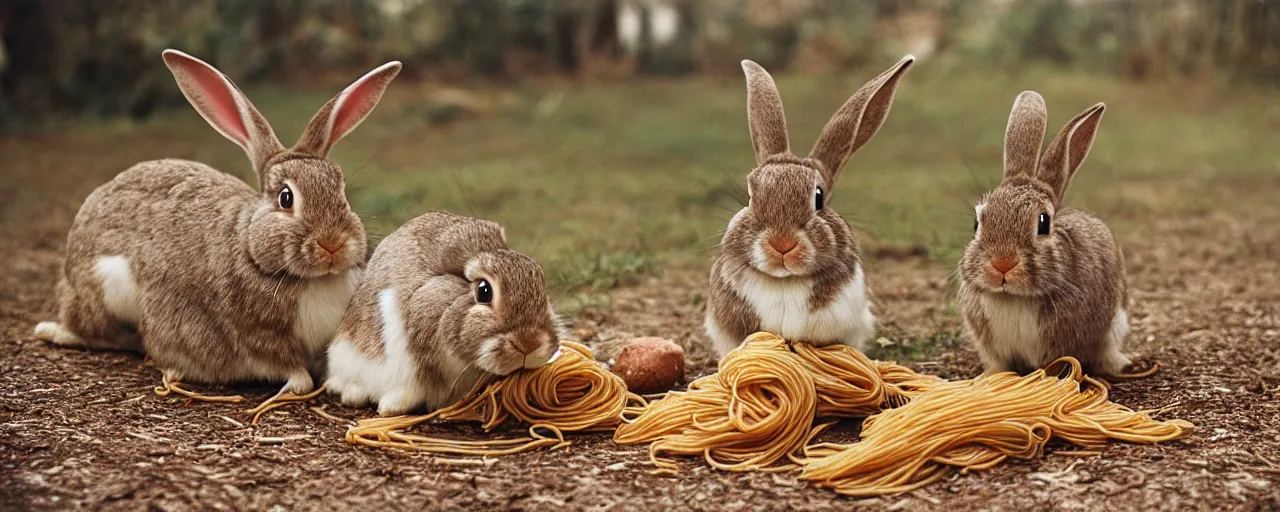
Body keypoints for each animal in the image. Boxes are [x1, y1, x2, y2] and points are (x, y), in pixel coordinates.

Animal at [32, 49, 401, 396]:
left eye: (342, 191)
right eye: (286, 198)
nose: (332, 244)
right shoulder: (259, 339)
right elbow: (291, 371)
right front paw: (297, 384)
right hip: (110, 287)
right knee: (88, 330)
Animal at [957, 90, 1126, 376]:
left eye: (1044, 222)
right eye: (977, 223)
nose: (1002, 264)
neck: (1013, 298)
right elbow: (999, 366)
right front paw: (987, 378)